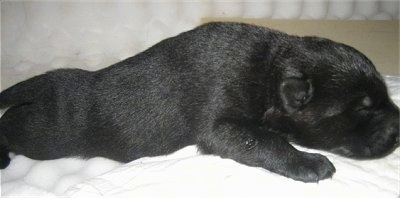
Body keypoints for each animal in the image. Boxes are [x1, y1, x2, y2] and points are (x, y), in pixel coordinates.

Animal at [0, 22, 400, 183]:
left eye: (384, 95)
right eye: (363, 108)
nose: (398, 132)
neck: (271, 69)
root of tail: (39, 87)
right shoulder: (221, 126)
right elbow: (268, 141)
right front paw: (308, 162)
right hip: (42, 133)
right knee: (8, 125)